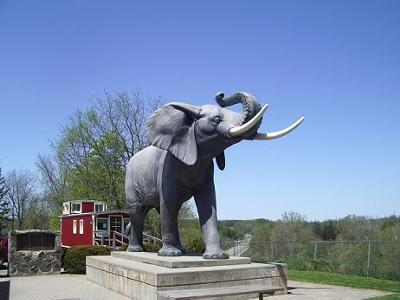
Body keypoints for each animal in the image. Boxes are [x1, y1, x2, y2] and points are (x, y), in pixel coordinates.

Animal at [125, 92, 304, 258]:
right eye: (216, 120)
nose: (221, 94)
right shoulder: (167, 166)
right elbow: (169, 201)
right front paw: (170, 254)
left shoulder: (207, 169)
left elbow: (207, 199)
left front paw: (216, 257)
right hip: (131, 183)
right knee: (138, 211)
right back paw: (137, 250)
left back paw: (180, 251)